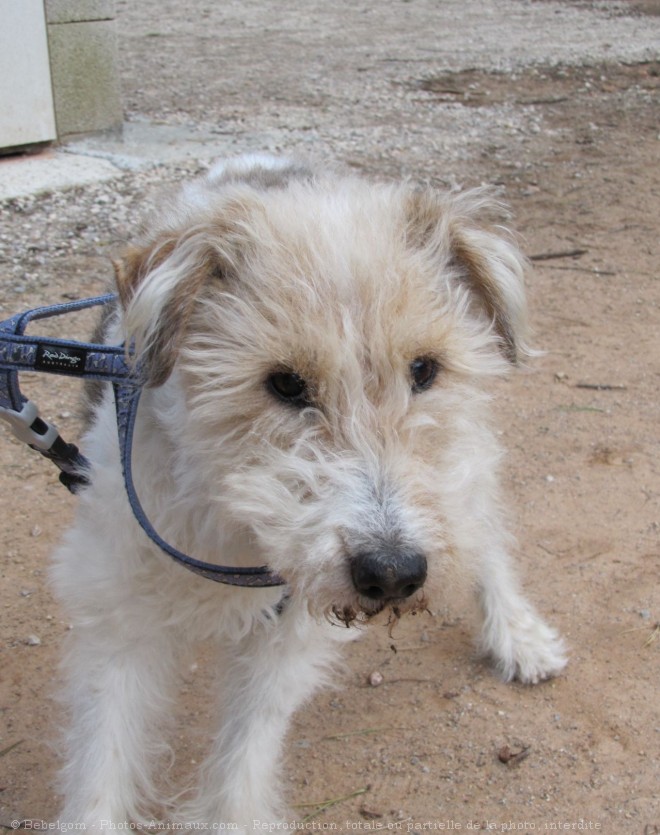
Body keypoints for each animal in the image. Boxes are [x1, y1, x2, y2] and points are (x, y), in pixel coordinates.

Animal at [51, 155, 568, 828]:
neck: (232, 528)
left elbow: (242, 763)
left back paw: (519, 637)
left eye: (424, 369)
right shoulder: (118, 618)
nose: (393, 575)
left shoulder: (289, 628)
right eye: (285, 384)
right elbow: (101, 771)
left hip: (462, 468)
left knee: (487, 539)